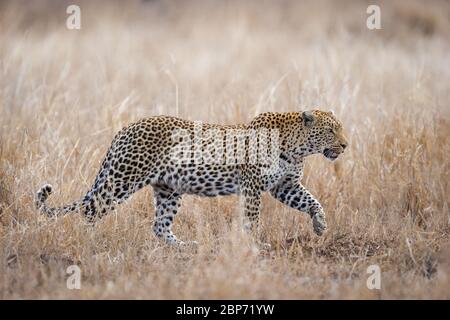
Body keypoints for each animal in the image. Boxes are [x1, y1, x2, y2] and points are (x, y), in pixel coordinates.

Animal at [37, 110, 350, 245]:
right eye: (331, 131)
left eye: (340, 128)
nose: (346, 145)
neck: (297, 148)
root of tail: (125, 129)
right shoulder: (252, 187)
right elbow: (252, 218)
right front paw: (255, 244)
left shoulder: (286, 185)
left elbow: (312, 201)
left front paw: (320, 225)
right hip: (123, 179)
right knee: (90, 210)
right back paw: (87, 239)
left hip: (168, 190)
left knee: (160, 226)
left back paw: (184, 248)